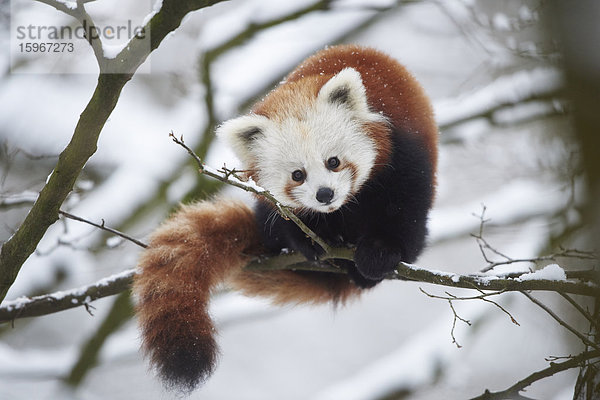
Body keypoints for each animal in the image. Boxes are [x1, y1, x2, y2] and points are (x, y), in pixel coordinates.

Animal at [135, 43, 436, 390]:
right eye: (297, 175)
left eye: (333, 162)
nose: (324, 195)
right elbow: (281, 216)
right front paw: (308, 240)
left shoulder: (404, 156)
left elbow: (405, 212)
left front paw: (380, 252)